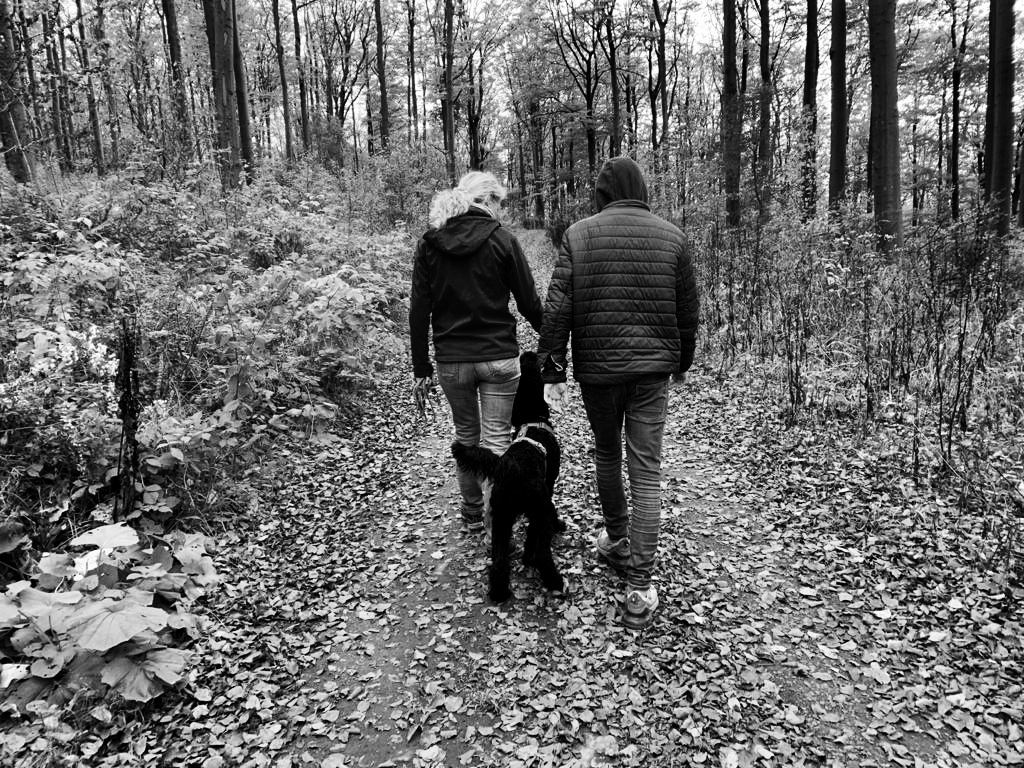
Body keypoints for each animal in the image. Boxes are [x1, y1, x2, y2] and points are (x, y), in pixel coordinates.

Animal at [451, 351, 565, 602]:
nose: (529, 354)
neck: (532, 421)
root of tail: (507, 465)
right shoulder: (547, 488)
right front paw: (557, 525)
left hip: (501, 517)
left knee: (499, 559)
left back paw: (499, 592)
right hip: (535, 508)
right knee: (541, 550)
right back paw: (554, 581)